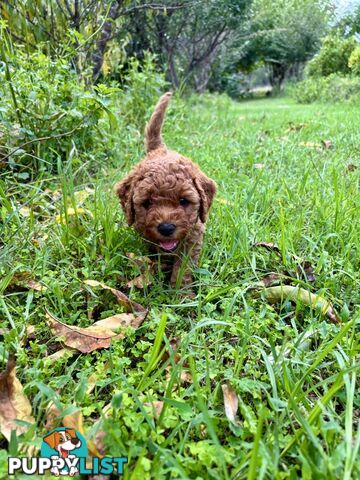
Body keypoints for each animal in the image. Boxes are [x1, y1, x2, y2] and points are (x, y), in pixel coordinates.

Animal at [115, 92, 217, 290]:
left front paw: (180, 292)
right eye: (147, 202)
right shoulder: (148, 237)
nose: (166, 228)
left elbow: (183, 268)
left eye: (184, 201)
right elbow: (157, 255)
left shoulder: (193, 239)